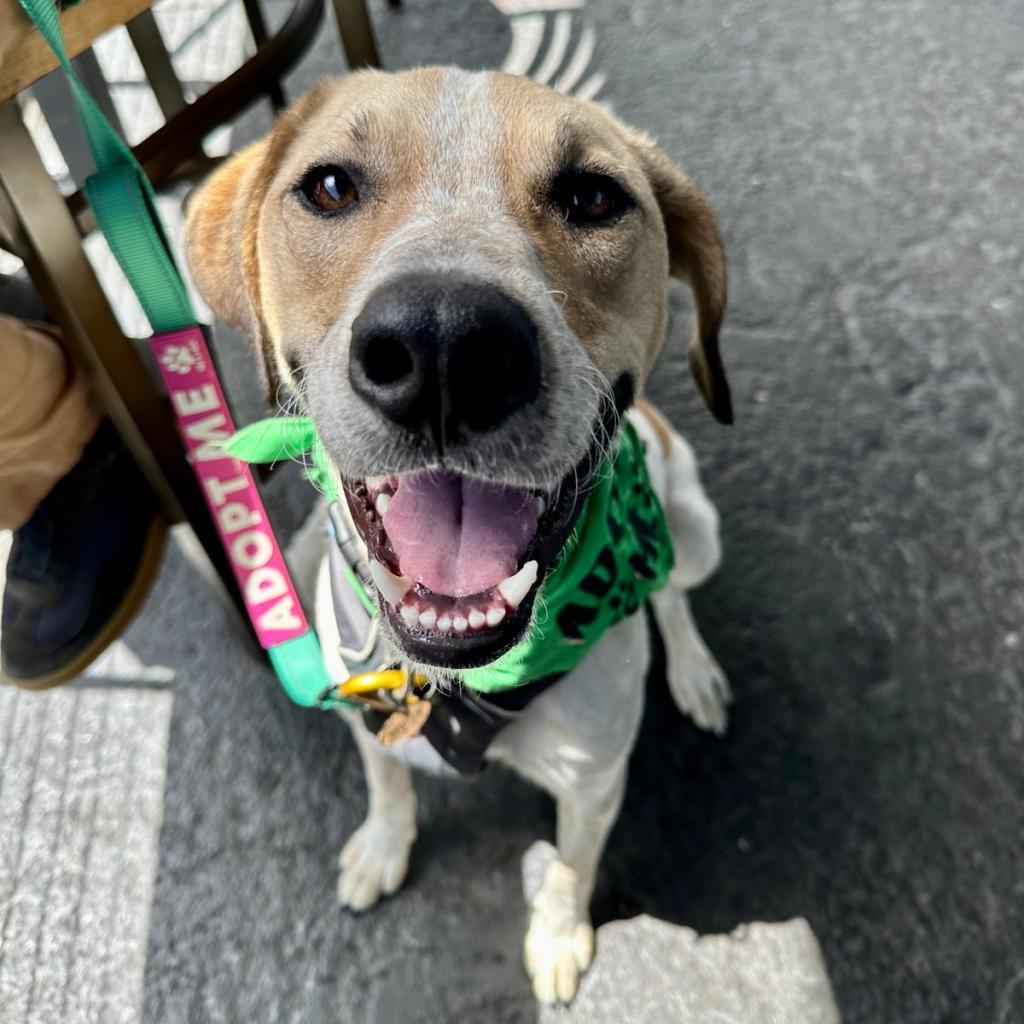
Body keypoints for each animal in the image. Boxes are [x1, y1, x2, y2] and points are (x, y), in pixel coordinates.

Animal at [184, 68, 729, 1003]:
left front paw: (557, 937)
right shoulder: (361, 708)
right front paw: (383, 845)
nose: (444, 345)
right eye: (331, 187)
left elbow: (569, 871)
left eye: (593, 196)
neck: (455, 682)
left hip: (698, 528)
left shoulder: (594, 784)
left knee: (672, 593)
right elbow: (389, 784)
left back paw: (692, 669)